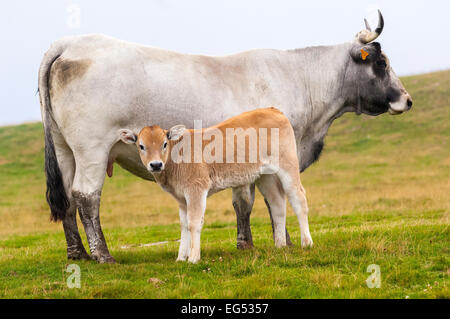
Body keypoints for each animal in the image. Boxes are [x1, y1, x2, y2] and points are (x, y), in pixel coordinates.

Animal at [38, 11, 412, 264]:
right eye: (381, 62)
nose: (407, 99)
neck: (296, 78)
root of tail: (69, 43)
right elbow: (248, 201)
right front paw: (250, 243)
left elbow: (265, 201)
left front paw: (279, 241)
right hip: (92, 150)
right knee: (86, 196)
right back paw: (102, 254)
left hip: (66, 150)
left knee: (68, 199)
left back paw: (77, 253)